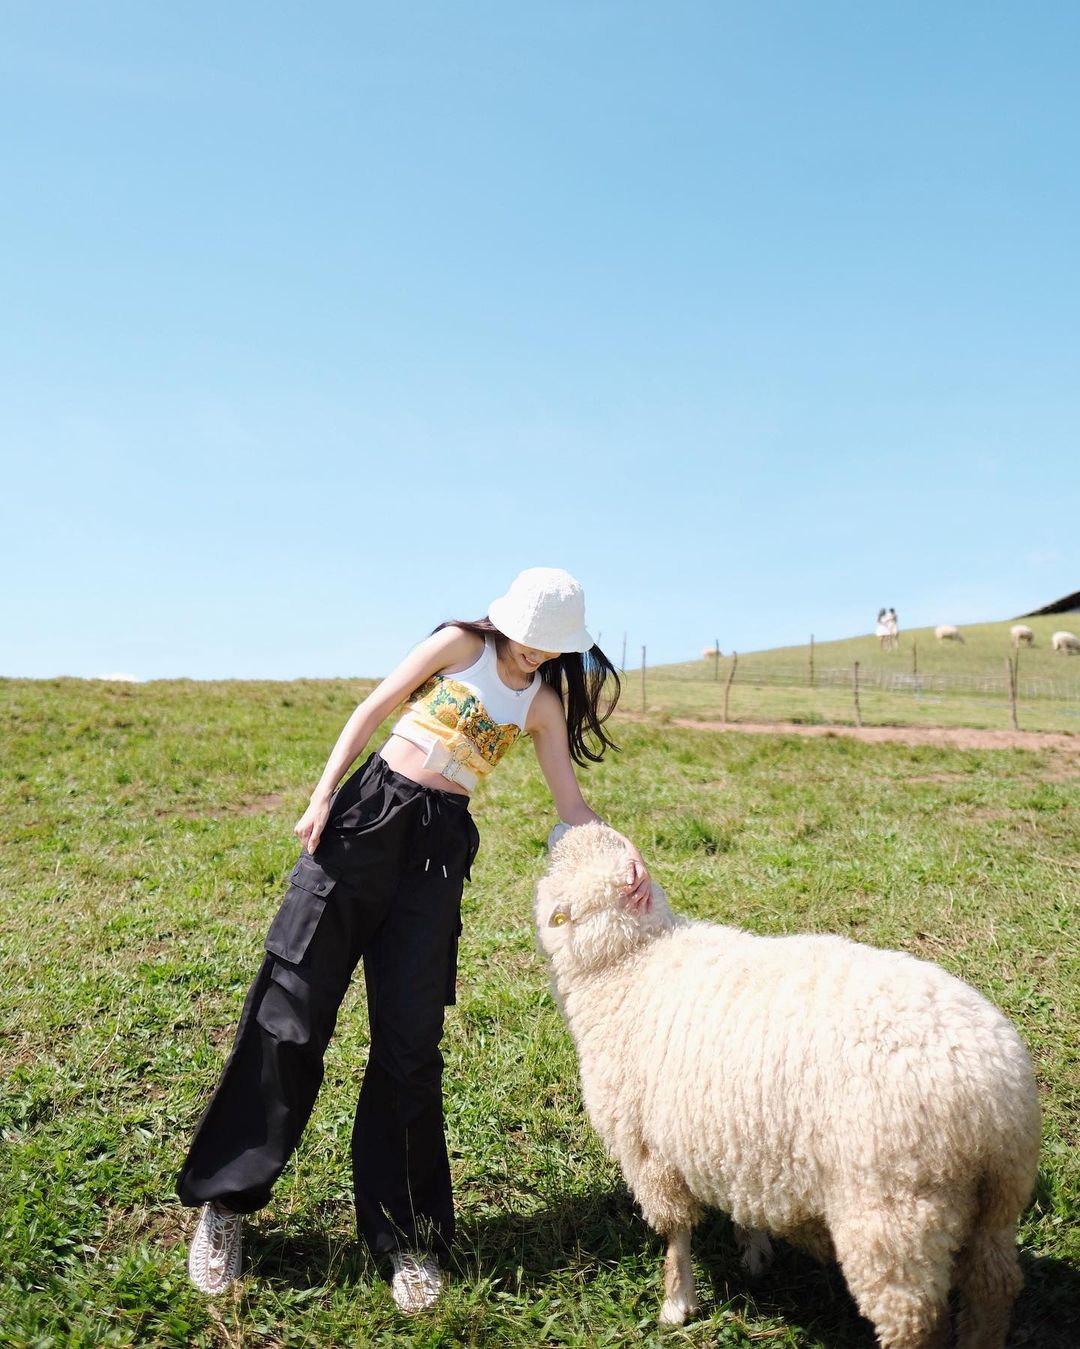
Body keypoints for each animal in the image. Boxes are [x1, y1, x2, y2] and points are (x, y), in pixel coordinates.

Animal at [533, 820, 1040, 1349]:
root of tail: (993, 1094)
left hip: (895, 1218)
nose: (560, 823)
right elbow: (741, 1198)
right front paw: (753, 1249)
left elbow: (676, 1235)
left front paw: (676, 1303)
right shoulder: (732, 1139)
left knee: (917, 1321)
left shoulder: (647, 1151)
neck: (633, 960)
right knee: (994, 1287)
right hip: (996, 1204)